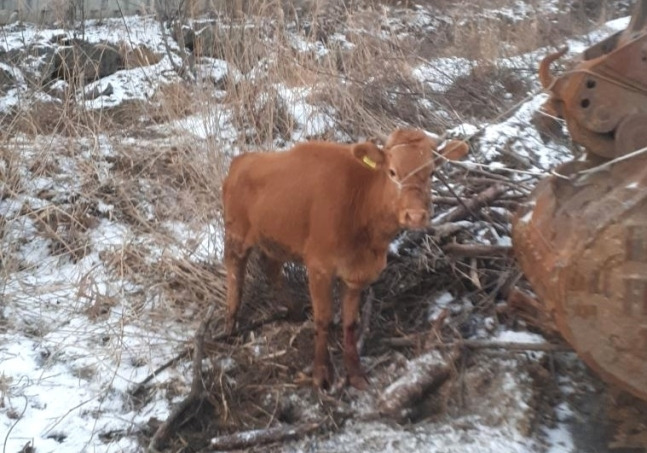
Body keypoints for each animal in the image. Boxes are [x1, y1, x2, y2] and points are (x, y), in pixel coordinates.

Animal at [220, 128, 468, 388]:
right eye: (392, 172)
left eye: (432, 172)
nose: (416, 215)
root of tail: (242, 160)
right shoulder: (319, 267)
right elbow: (323, 319)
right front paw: (321, 372)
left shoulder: (356, 274)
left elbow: (350, 323)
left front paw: (355, 372)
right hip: (236, 234)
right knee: (235, 273)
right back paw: (230, 325)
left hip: (275, 238)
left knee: (271, 268)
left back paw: (294, 310)